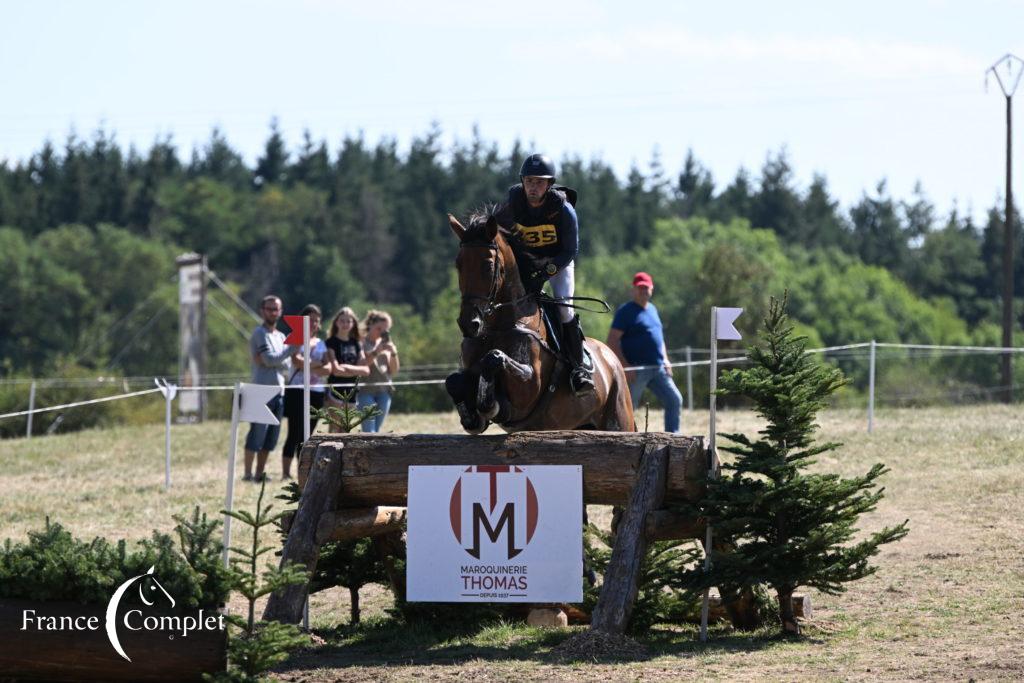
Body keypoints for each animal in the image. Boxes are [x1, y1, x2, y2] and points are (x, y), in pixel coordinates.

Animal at [446, 209, 630, 432]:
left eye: (488, 266)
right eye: (458, 264)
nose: (469, 324)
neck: (498, 325)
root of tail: (611, 358)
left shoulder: (529, 386)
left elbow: (494, 358)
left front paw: (491, 404)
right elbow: (454, 381)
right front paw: (472, 415)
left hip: (619, 418)